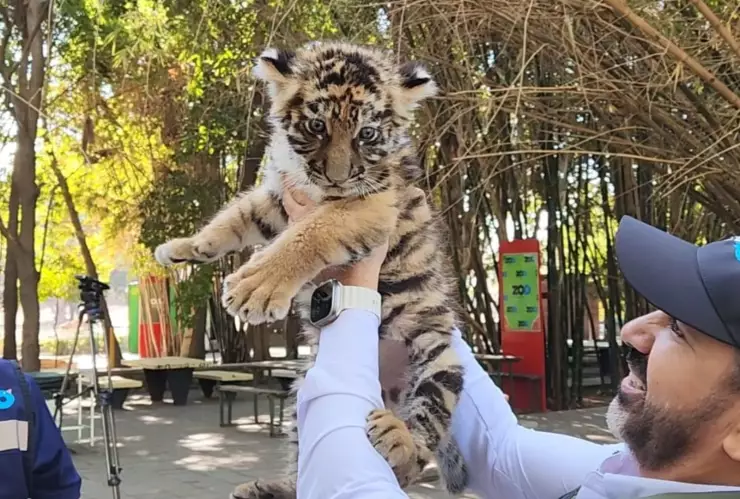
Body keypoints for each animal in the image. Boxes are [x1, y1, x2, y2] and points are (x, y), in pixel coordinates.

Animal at [153, 41, 468, 497]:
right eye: (317, 125)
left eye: (367, 134)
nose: (338, 177)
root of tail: (385, 395)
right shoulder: (278, 198)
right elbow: (235, 216)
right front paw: (183, 248)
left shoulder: (369, 204)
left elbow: (312, 232)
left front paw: (253, 290)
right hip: (303, 391)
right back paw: (266, 488)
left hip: (440, 359)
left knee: (418, 445)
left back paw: (399, 438)